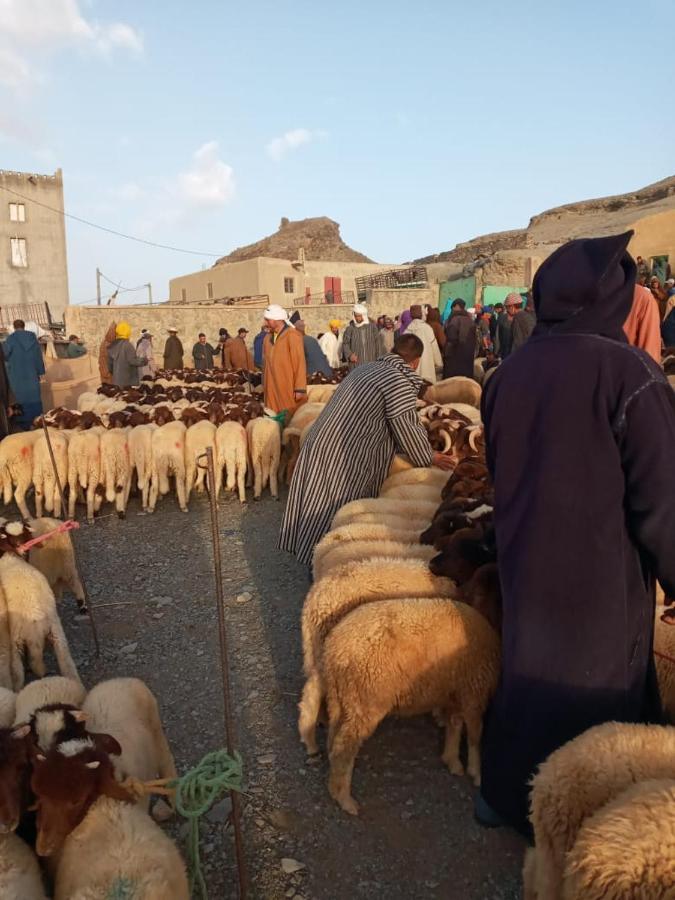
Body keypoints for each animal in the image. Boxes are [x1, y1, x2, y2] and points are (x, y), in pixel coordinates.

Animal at [322, 596, 502, 816]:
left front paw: (452, 761)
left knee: (334, 742)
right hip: (364, 701)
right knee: (344, 748)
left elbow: (455, 726)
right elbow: (475, 735)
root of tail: (334, 650)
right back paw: (345, 800)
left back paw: (334, 788)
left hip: (343, 700)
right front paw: (476, 773)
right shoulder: (473, 692)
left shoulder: (455, 692)